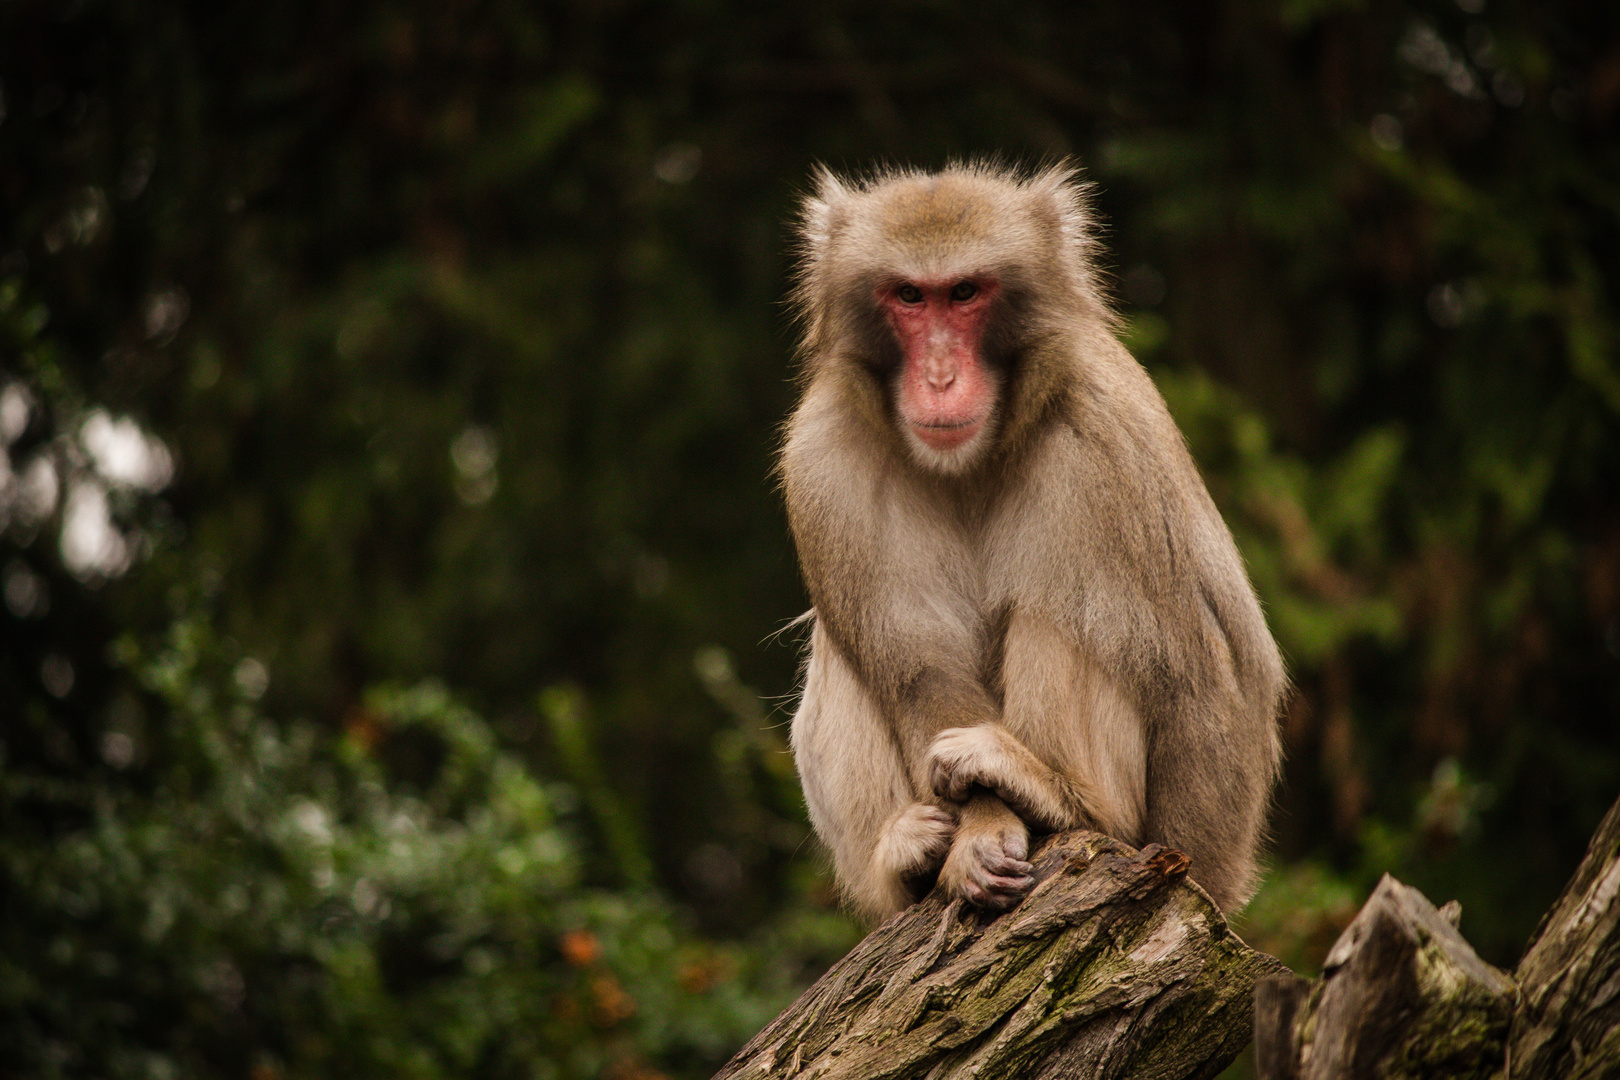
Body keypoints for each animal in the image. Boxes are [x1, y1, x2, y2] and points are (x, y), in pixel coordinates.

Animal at [777, 160, 1283, 919]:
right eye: (908, 296)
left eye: (964, 293)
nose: (940, 377)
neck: (972, 463)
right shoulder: (822, 459)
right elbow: (920, 670)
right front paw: (977, 837)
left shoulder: (1108, 438)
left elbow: (1205, 674)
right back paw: (904, 859)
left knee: (1076, 608)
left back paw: (1066, 797)